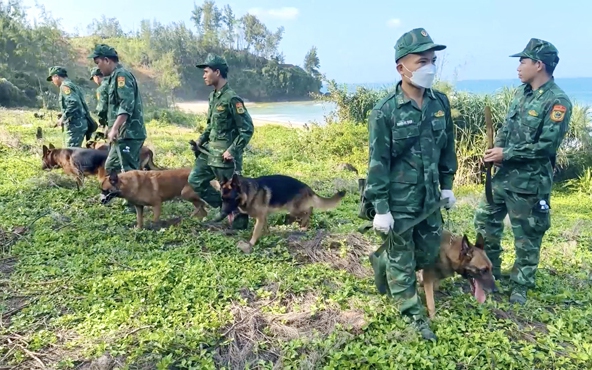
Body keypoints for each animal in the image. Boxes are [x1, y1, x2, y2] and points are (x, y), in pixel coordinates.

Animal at [214, 173, 344, 254]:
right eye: (222, 199)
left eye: (230, 199)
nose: (221, 215)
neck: (248, 193)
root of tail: (307, 187)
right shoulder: (263, 217)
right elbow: (265, 228)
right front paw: (267, 235)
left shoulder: (260, 217)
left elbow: (255, 232)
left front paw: (251, 243)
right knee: (310, 208)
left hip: (294, 209)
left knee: (309, 209)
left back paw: (304, 226)